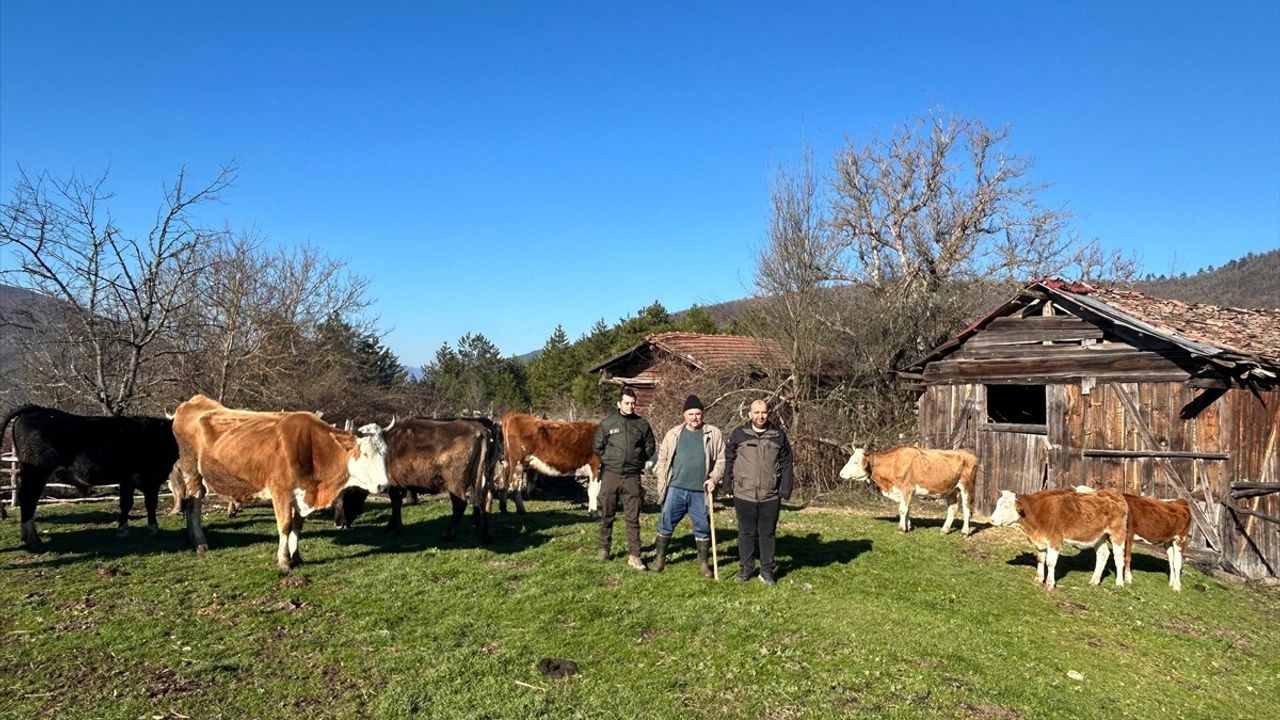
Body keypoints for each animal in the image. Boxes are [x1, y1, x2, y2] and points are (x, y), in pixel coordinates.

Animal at [839, 443, 977, 532]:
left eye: (855, 462)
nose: (841, 474)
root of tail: (966, 452)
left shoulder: (906, 488)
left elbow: (902, 509)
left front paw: (901, 528)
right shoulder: (903, 491)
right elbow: (907, 509)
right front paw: (908, 526)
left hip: (967, 487)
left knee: (967, 509)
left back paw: (965, 531)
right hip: (951, 490)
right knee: (953, 508)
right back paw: (945, 529)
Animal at [988, 481, 1131, 589]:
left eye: (1007, 506)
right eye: (997, 504)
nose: (992, 520)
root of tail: (1114, 494)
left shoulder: (1055, 540)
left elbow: (1051, 562)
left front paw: (1050, 584)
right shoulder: (1040, 541)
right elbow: (1041, 560)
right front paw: (1038, 579)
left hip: (1117, 533)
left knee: (1118, 558)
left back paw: (1119, 583)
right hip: (1098, 536)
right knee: (1103, 554)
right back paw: (1094, 581)